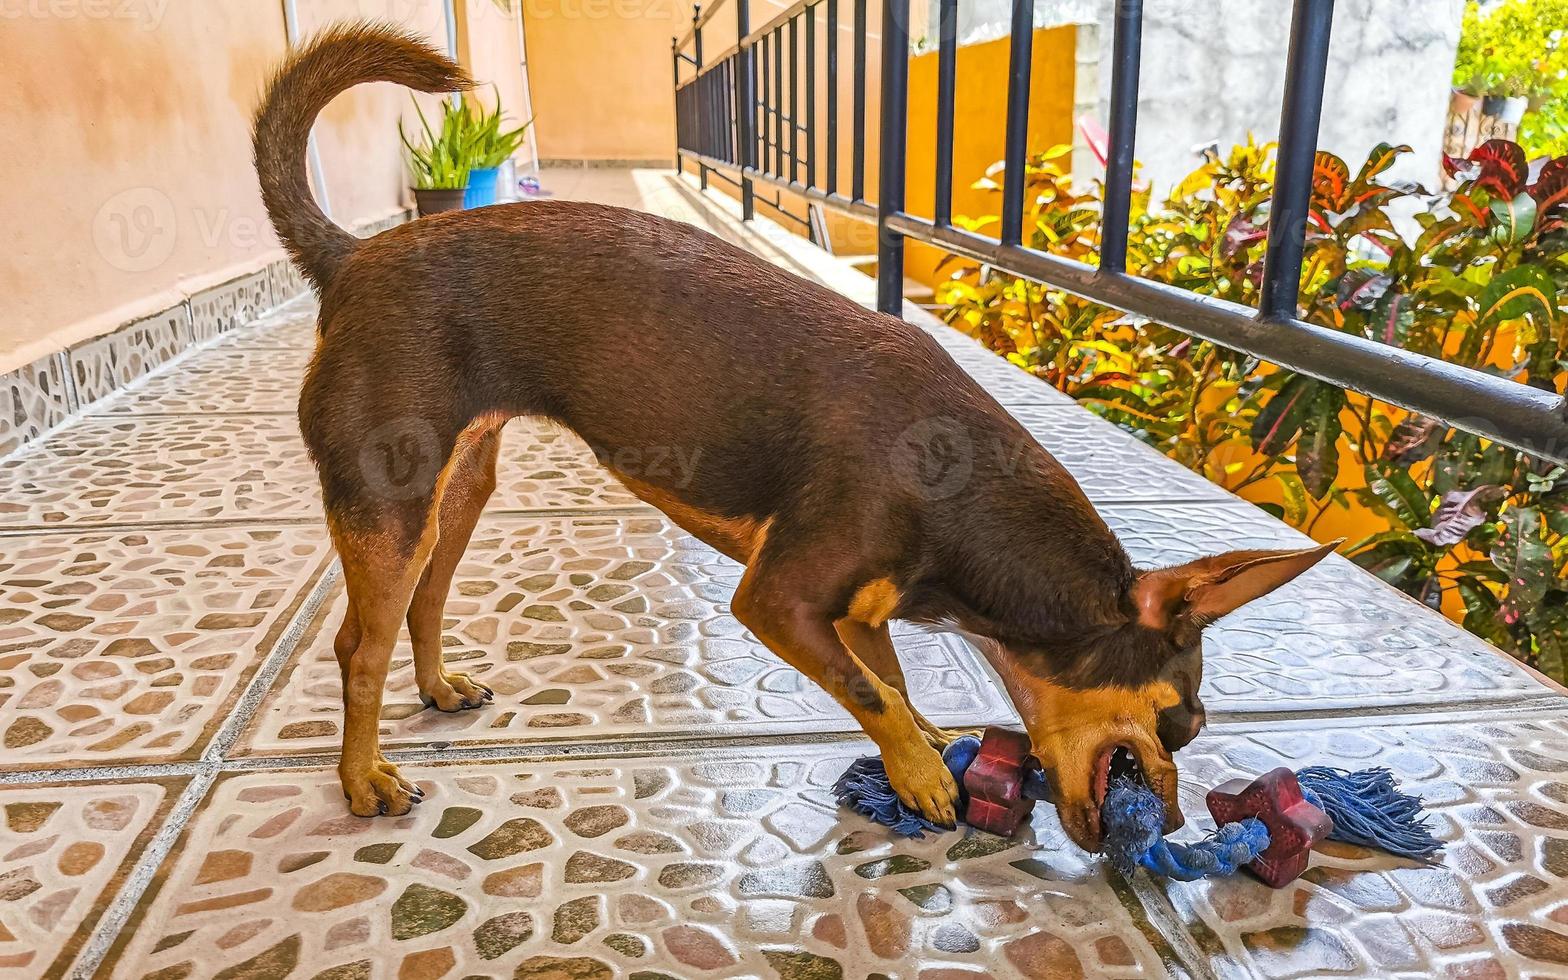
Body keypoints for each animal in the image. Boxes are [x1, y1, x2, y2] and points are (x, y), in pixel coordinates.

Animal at [250, 22, 1329, 846]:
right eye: (1177, 723)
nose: (1177, 826)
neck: (959, 495)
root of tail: (347, 258)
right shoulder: (775, 600)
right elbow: (873, 694)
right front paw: (923, 774)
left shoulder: (854, 614)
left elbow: (888, 681)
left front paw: (922, 747)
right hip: (388, 497)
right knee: (356, 646)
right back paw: (363, 778)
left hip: (452, 491)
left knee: (422, 604)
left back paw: (435, 687)